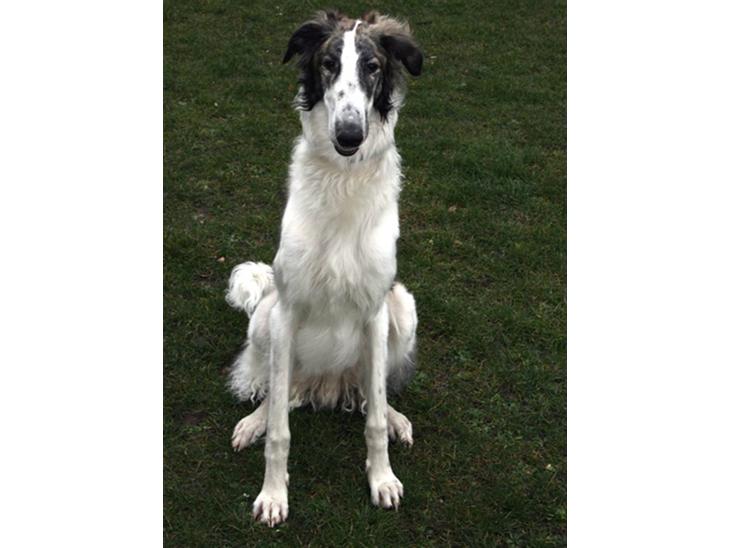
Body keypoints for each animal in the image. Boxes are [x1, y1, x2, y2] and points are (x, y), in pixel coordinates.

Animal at [225, 10, 423, 527]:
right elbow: (280, 431)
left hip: (403, 308)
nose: (349, 135)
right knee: (278, 393)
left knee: (372, 394)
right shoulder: (288, 308)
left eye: (372, 67)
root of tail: (327, 384)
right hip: (266, 318)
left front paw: (382, 479)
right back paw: (252, 422)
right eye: (329, 63)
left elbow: (373, 421)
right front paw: (273, 494)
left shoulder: (376, 310)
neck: (343, 180)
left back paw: (395, 418)